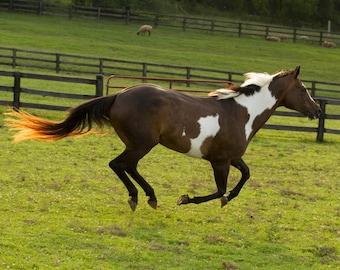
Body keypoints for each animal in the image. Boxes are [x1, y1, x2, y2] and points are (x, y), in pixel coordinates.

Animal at [4, 66, 322, 211]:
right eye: (304, 89)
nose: (317, 110)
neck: (243, 112)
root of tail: (119, 94)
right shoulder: (219, 161)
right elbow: (218, 189)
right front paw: (186, 198)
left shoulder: (232, 157)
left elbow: (245, 176)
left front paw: (228, 199)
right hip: (142, 143)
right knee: (119, 165)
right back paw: (143, 197)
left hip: (138, 144)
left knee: (126, 166)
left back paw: (146, 196)